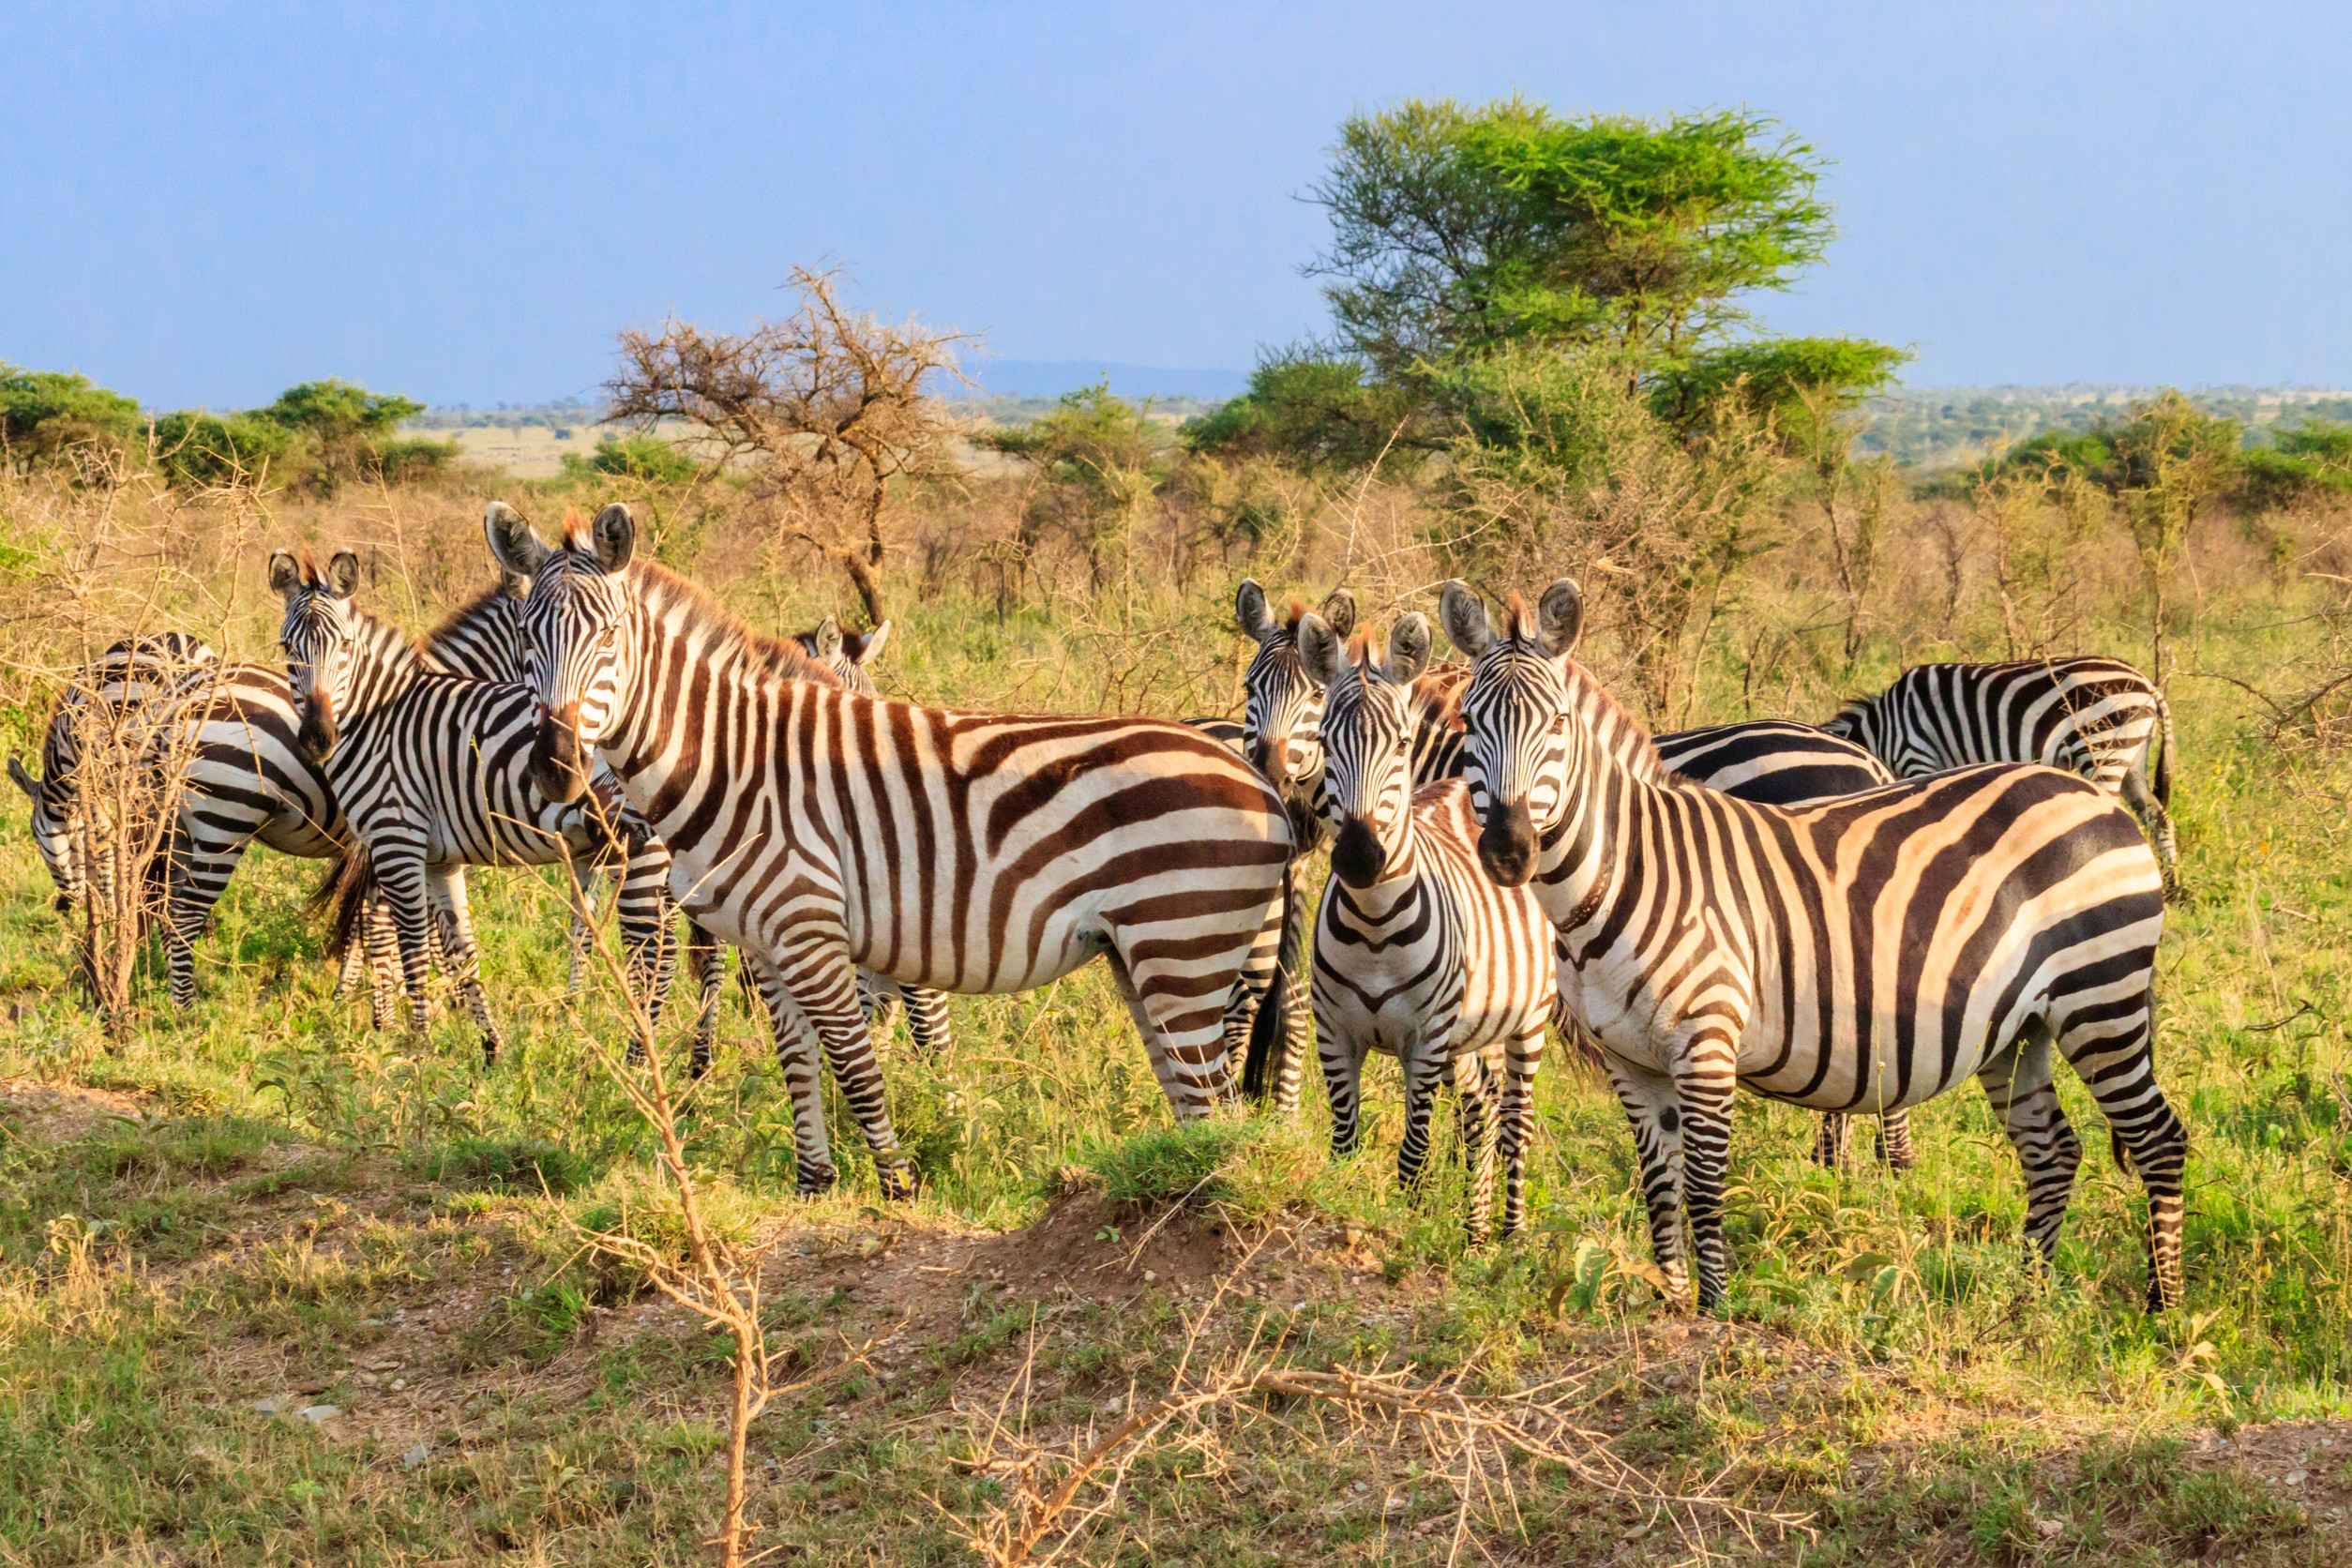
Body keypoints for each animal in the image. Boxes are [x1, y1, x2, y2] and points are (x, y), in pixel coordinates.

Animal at [271, 547, 650, 1063]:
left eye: (345, 646)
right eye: (287, 648)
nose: (316, 737)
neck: (384, 720)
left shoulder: (397, 836)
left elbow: (405, 935)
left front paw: (408, 1035)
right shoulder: (422, 847)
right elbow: (451, 941)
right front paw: (476, 1039)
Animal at [485, 502, 1291, 1198]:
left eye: (609, 638)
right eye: (524, 641)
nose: (556, 764)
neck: (732, 758)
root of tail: (1264, 786)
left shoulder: (809, 928)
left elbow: (855, 1063)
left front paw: (897, 1186)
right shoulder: (767, 942)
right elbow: (798, 1061)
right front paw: (814, 1185)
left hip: (1182, 947)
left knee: (1213, 1098)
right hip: (1144, 955)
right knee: (1195, 1099)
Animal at [1282, 610, 1557, 1244]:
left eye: (1403, 744)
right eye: (1325, 743)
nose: (1360, 858)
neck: (1375, 926)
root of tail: (1461, 787)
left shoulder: (1425, 1042)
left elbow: (1413, 1153)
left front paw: (1404, 1230)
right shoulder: (1336, 1036)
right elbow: (1345, 1144)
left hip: (1527, 1020)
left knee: (1516, 1121)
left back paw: (1510, 1234)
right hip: (1470, 1034)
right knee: (1481, 1110)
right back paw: (1476, 1234)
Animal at [1825, 657, 2180, 891]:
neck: (1880, 732)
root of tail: (2148, 684)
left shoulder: (1918, 757)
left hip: (2105, 748)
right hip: (2133, 757)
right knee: (2158, 817)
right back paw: (2175, 887)